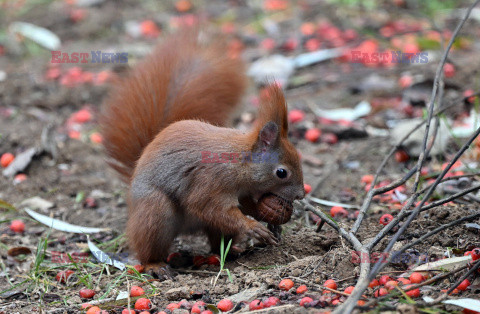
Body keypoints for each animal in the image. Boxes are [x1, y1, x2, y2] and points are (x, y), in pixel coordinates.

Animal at [101, 28, 304, 274]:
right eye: (282, 173)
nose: (301, 195)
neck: (239, 162)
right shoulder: (210, 182)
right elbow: (207, 206)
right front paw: (252, 227)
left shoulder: (241, 192)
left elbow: (243, 205)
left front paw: (267, 214)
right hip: (155, 212)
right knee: (148, 246)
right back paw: (156, 265)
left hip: (210, 228)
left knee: (218, 242)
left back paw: (233, 252)